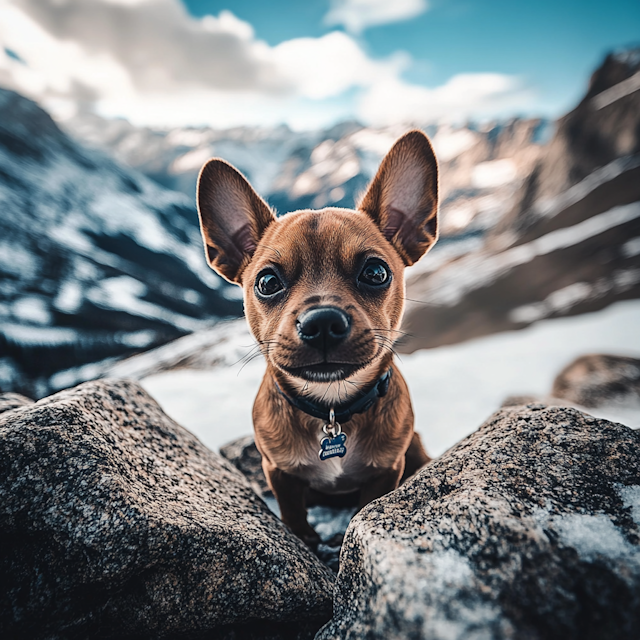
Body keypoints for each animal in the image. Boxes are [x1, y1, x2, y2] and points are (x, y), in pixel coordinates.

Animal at [198, 129, 440, 544]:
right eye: (267, 282)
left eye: (376, 272)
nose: (322, 321)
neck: (331, 408)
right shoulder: (280, 473)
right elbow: (293, 513)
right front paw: (305, 538)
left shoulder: (385, 471)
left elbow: (366, 507)